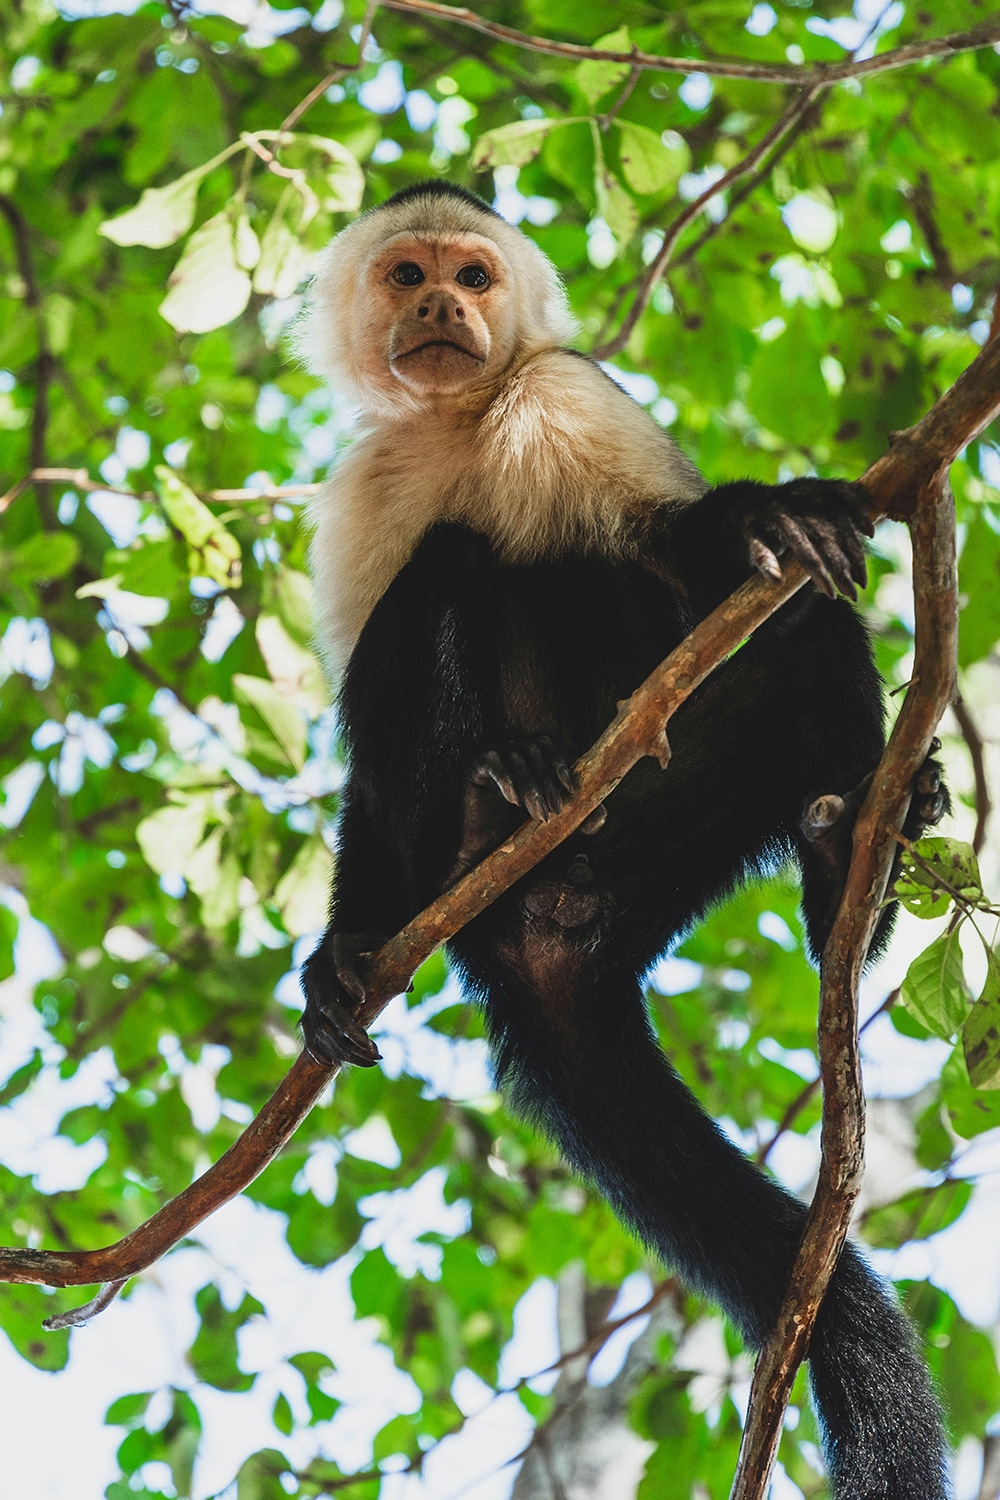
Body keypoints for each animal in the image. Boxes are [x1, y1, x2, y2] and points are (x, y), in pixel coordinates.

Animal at [295, 181, 950, 1499]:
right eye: (405, 276)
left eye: (474, 277)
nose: (441, 309)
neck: (459, 422)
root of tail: (550, 930)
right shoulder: (361, 488)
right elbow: (364, 763)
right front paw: (339, 952)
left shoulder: (565, 391)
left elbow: (676, 548)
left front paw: (764, 517)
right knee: (445, 575)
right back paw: (491, 802)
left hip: (666, 841)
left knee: (781, 628)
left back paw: (848, 872)